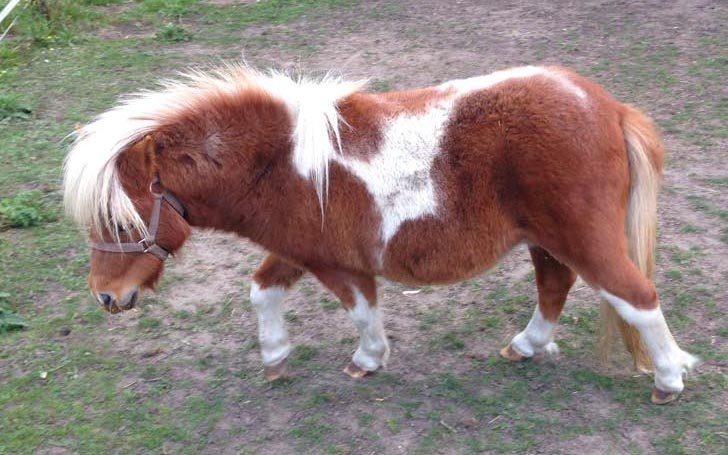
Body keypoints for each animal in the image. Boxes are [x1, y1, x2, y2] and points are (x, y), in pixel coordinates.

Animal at [64, 62, 700, 404]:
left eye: (120, 221)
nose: (107, 298)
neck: (281, 163)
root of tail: (609, 107)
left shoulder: (338, 265)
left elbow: (363, 310)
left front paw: (367, 360)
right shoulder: (294, 251)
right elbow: (261, 291)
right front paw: (275, 357)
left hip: (583, 238)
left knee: (636, 297)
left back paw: (667, 380)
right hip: (548, 240)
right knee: (555, 288)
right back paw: (525, 346)